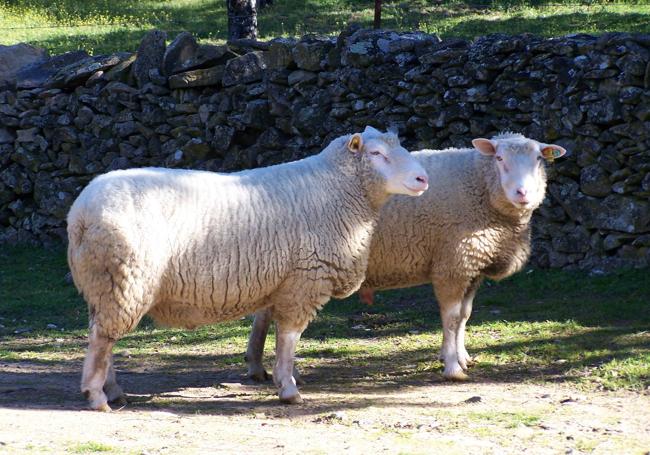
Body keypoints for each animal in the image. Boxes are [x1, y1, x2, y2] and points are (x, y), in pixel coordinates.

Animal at [68, 126, 428, 412]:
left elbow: (269, 328)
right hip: (125, 280)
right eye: (377, 153)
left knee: (102, 335)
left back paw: (114, 391)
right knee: (102, 339)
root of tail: (80, 214)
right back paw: (97, 396)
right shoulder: (304, 279)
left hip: (102, 283)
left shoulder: (282, 282)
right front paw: (288, 388)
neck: (336, 190)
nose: (423, 178)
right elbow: (289, 338)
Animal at [243, 134, 560, 382]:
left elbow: (464, 316)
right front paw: (452, 366)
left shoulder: (474, 267)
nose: (522, 193)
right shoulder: (453, 263)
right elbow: (451, 317)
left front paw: (461, 356)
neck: (478, 185)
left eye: (538, 160)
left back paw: (259, 367)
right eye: (499, 158)